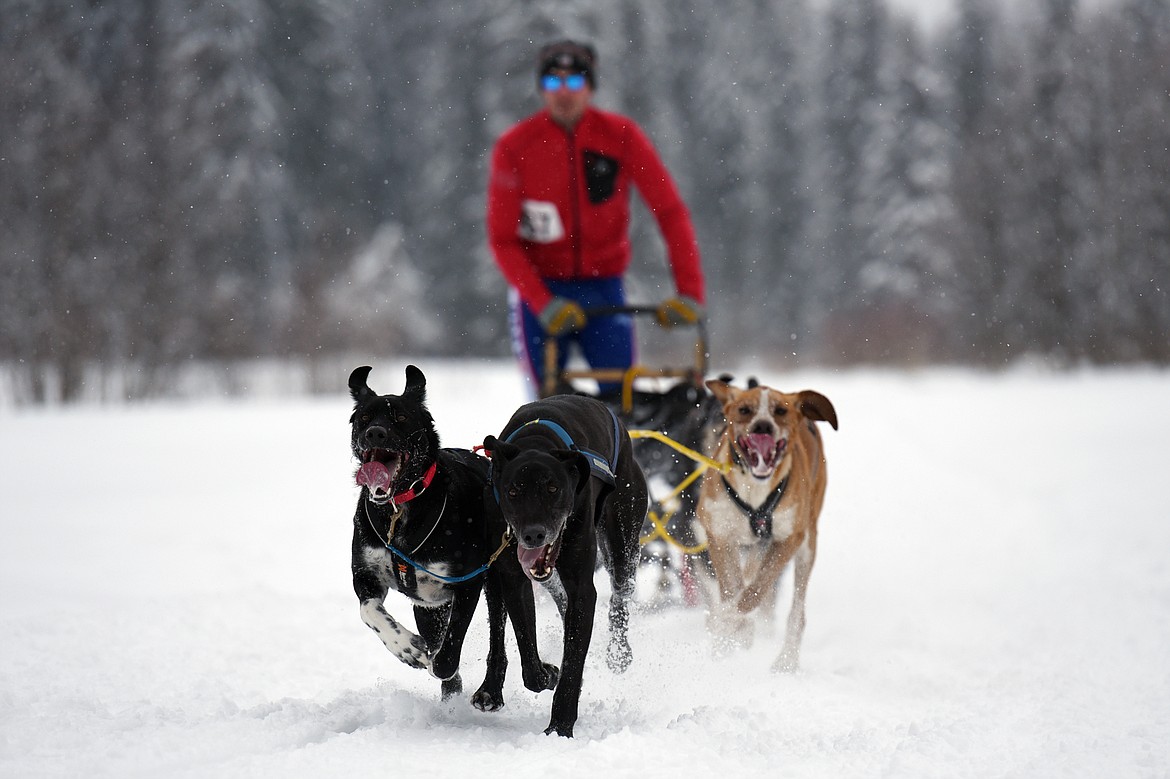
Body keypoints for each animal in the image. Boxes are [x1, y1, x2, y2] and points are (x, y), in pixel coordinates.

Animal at [346, 364, 556, 701]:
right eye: (364, 417)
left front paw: (431, 660)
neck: (400, 510)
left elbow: (447, 653)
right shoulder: (366, 574)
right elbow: (369, 611)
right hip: (428, 607)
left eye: (401, 417)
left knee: (496, 635)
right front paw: (407, 648)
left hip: (495, 584)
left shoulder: (466, 582)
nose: (375, 433)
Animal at [482, 395, 650, 734]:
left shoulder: (583, 589)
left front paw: (560, 726)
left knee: (620, 594)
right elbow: (528, 651)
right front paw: (547, 673)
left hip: (623, 541)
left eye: (552, 488)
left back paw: (619, 652)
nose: (534, 534)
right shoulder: (514, 578)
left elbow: (573, 661)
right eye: (513, 490)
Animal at [687, 376, 837, 669]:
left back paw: (786, 661)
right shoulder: (719, 535)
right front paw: (727, 635)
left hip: (807, 546)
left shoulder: (788, 538)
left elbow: (754, 591)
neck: (753, 488)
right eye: (744, 409)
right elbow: (731, 587)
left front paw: (730, 622)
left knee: (796, 613)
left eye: (780, 410)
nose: (763, 426)